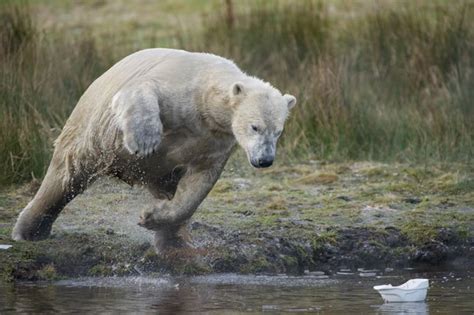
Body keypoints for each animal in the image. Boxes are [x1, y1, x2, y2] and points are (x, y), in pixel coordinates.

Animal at [12, 48, 296, 253]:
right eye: (255, 127)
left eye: (278, 131)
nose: (265, 160)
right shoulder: (183, 90)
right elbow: (144, 91)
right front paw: (144, 140)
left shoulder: (214, 141)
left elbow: (198, 184)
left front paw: (150, 217)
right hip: (88, 132)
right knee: (66, 176)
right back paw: (30, 230)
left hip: (158, 170)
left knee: (166, 186)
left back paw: (174, 239)